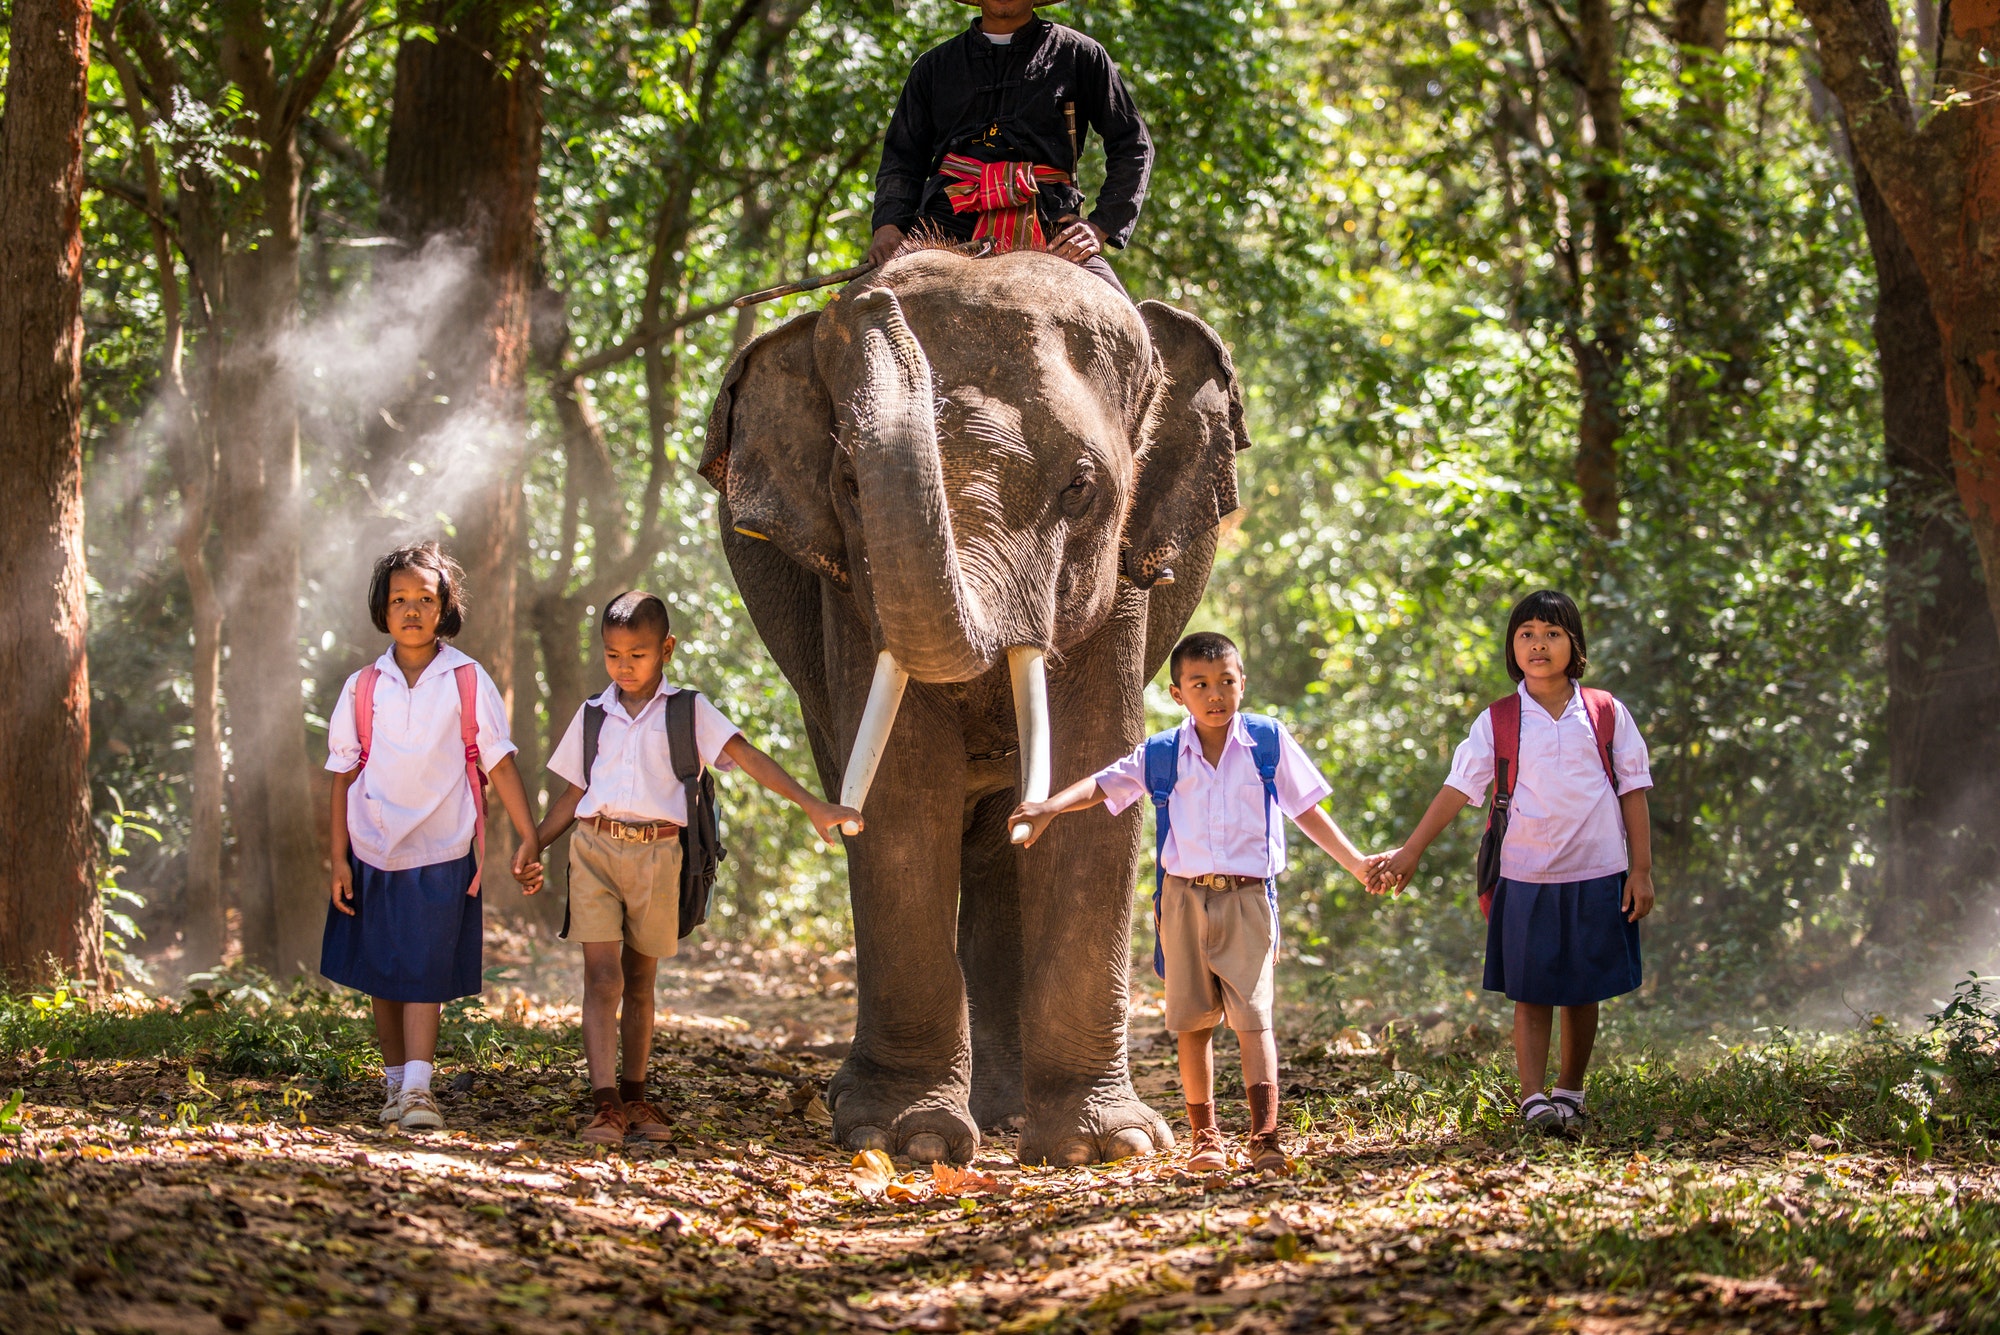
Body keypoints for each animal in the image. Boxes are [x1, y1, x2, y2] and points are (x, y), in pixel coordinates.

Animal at [704, 244, 1248, 1159]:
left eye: (1081, 487)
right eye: (849, 480)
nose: (873, 299)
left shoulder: (1125, 579)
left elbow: (1096, 776)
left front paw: (1106, 1145)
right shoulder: (849, 592)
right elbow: (902, 789)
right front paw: (909, 1140)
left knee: (1000, 848)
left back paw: (1011, 1114)